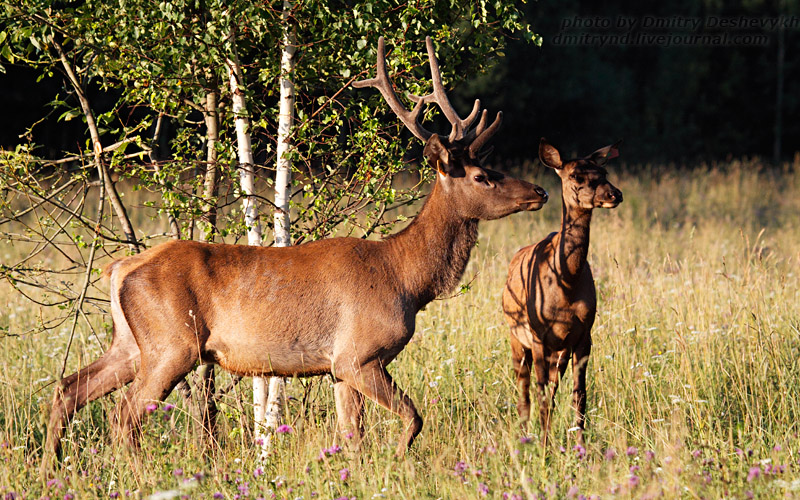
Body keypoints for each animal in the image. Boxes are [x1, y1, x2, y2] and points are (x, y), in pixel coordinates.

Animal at [43, 36, 552, 468]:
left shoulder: (340, 368)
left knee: (69, 388)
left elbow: (353, 439)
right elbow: (413, 417)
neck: (406, 279)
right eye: (482, 176)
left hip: (132, 342)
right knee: (123, 415)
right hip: (172, 343)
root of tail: (118, 269)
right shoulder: (358, 354)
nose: (540, 192)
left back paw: (51, 468)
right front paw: (399, 460)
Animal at [504, 138, 620, 446]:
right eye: (575, 176)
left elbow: (579, 396)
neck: (566, 285)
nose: (615, 194)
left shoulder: (583, 335)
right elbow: (542, 396)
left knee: (553, 391)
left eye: (603, 172)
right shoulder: (539, 336)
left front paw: (579, 446)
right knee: (524, 394)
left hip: (560, 350)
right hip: (516, 338)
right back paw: (525, 437)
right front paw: (545, 448)